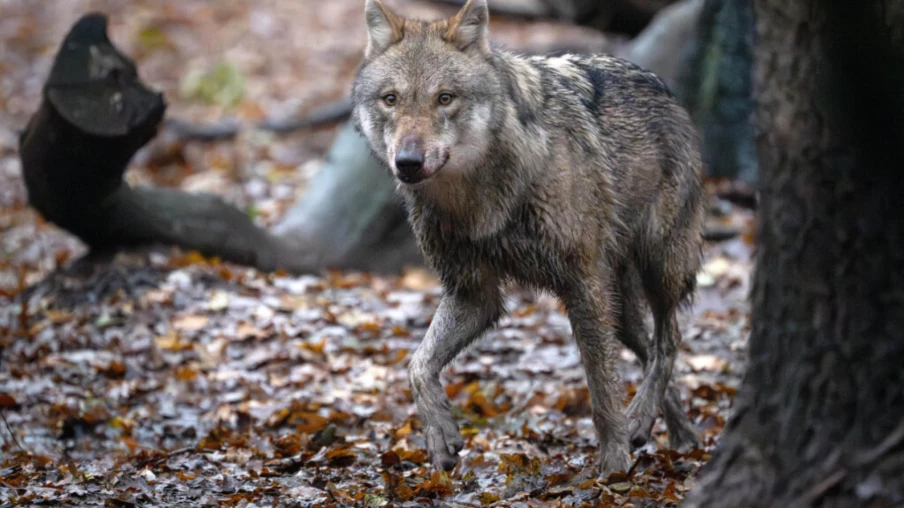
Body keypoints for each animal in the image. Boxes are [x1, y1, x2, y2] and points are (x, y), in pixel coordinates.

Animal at [351, 0, 704, 474]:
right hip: (621, 306)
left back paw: (643, 421)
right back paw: (675, 433)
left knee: (670, 341)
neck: (477, 199)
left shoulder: (582, 284)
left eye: (445, 98)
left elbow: (601, 388)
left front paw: (613, 464)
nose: (408, 162)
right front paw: (440, 434)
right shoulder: (473, 294)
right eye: (391, 99)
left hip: (659, 266)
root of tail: (664, 88)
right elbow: (417, 365)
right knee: (649, 349)